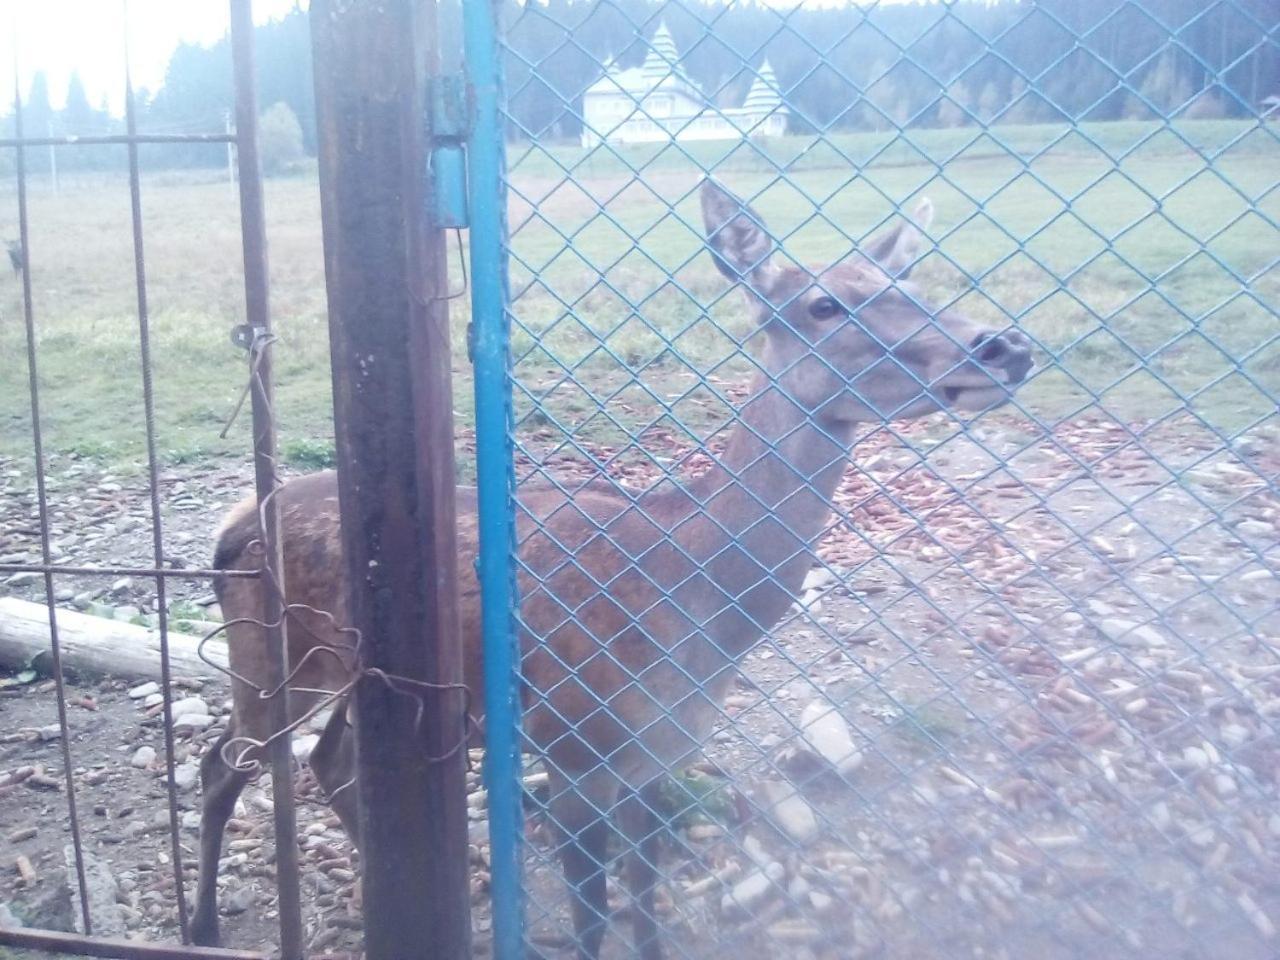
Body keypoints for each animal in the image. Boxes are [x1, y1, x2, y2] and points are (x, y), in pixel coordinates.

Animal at [192, 179, 1029, 957]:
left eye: (915, 287)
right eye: (824, 305)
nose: (1005, 345)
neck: (699, 623)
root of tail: (230, 528)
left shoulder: (657, 754)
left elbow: (646, 891)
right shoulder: (571, 748)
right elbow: (593, 916)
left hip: (351, 673)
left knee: (327, 760)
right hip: (267, 654)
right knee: (222, 762)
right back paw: (203, 922)